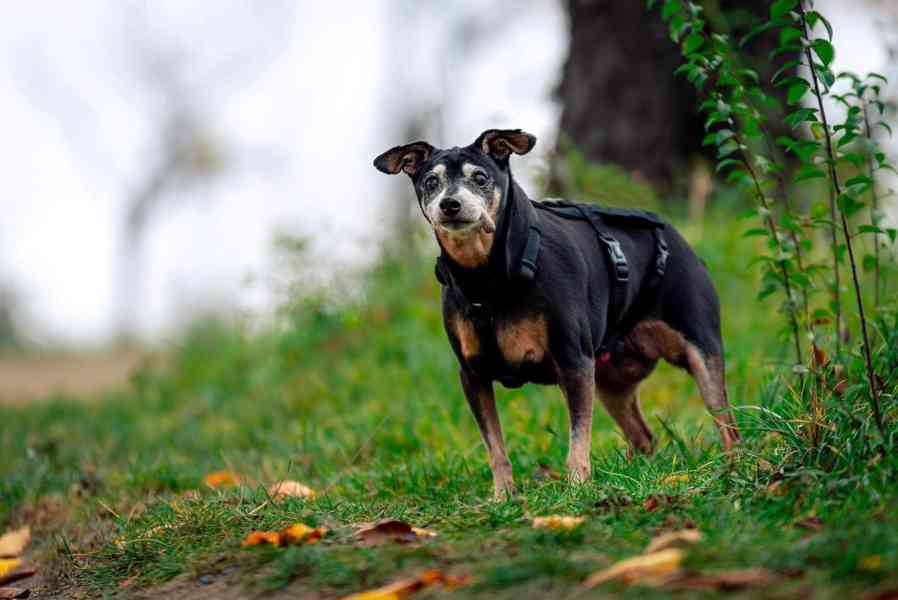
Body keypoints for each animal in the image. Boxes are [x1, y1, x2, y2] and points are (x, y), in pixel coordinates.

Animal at [374, 129, 740, 500]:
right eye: (430, 182)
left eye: (480, 178)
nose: (450, 204)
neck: (488, 277)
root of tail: (679, 238)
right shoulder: (472, 374)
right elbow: (495, 447)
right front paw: (503, 496)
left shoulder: (574, 363)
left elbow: (578, 440)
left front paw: (577, 488)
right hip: (611, 381)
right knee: (644, 437)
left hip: (699, 350)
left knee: (728, 426)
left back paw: (733, 470)